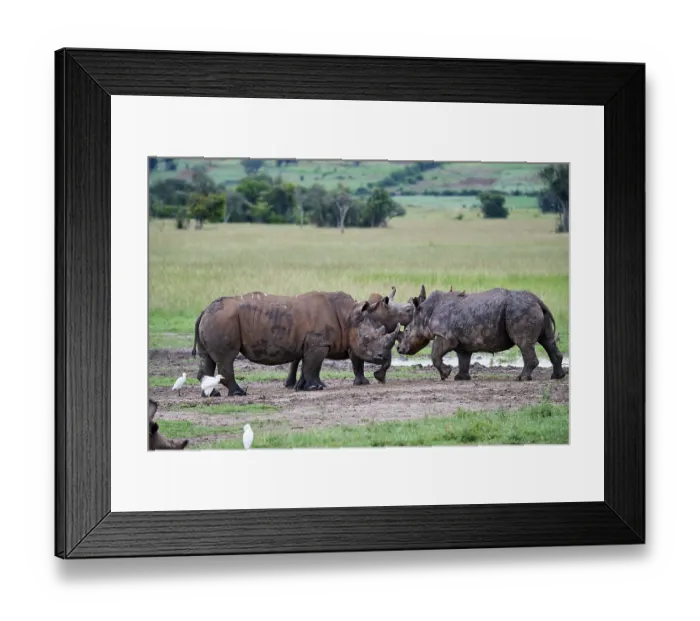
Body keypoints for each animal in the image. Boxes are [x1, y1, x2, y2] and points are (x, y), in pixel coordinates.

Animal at [192, 290, 400, 395]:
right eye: (366, 340)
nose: (383, 357)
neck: (348, 316)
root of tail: (204, 310)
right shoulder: (319, 344)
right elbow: (313, 367)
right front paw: (317, 388)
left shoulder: (310, 344)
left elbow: (306, 366)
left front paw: (302, 387)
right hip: (222, 320)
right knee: (226, 358)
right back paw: (239, 393)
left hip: (214, 319)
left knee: (207, 358)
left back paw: (212, 395)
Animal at [283, 286, 414, 387]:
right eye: (406, 311)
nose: (412, 309)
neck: (379, 315)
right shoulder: (357, 340)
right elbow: (358, 362)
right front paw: (362, 382)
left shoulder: (378, 341)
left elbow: (387, 358)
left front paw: (379, 377)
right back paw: (291, 385)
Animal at [397, 286, 567, 381]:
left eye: (407, 331)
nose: (399, 349)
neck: (424, 314)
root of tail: (537, 300)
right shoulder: (461, 341)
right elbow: (463, 359)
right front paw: (461, 378)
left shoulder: (444, 336)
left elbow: (435, 355)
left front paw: (445, 374)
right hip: (530, 308)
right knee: (547, 340)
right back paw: (557, 377)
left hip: (521, 309)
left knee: (524, 343)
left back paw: (521, 379)